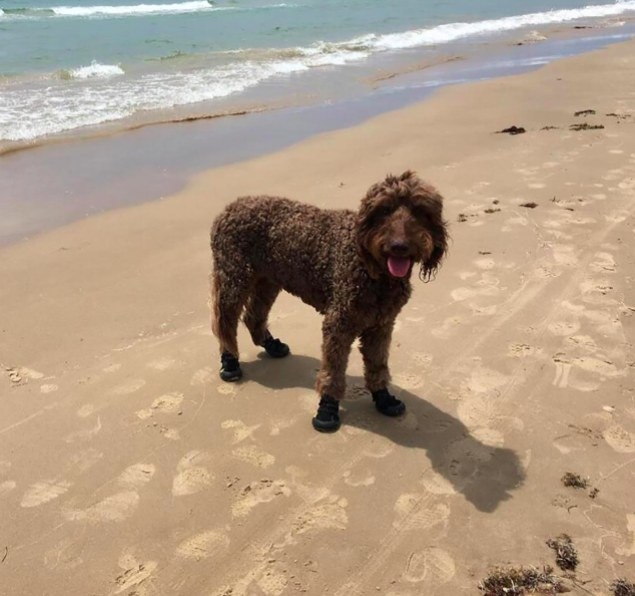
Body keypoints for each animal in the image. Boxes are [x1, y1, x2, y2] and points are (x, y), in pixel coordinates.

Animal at [210, 170, 448, 430]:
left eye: (420, 211)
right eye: (384, 210)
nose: (399, 246)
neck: (373, 269)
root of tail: (230, 207)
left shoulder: (381, 326)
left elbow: (377, 364)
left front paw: (383, 397)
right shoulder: (338, 324)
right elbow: (333, 370)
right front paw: (327, 408)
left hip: (269, 280)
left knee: (253, 316)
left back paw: (271, 345)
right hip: (234, 278)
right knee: (224, 322)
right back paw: (230, 361)